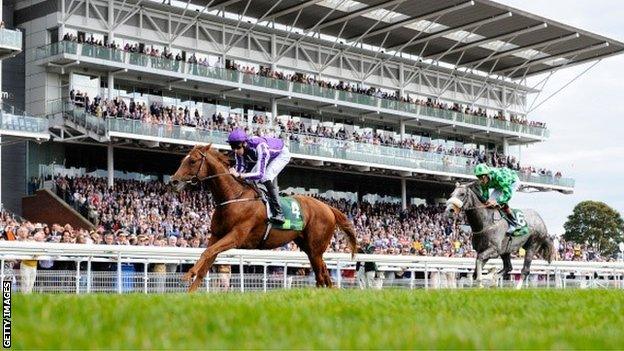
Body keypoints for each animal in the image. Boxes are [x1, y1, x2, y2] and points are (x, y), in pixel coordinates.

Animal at [171, 144, 358, 292]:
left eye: (193, 161)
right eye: (182, 160)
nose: (173, 181)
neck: (234, 197)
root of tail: (328, 207)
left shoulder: (236, 236)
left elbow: (207, 252)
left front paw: (188, 274)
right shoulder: (216, 235)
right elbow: (207, 259)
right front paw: (191, 292)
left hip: (316, 247)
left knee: (321, 273)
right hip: (309, 247)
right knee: (323, 272)